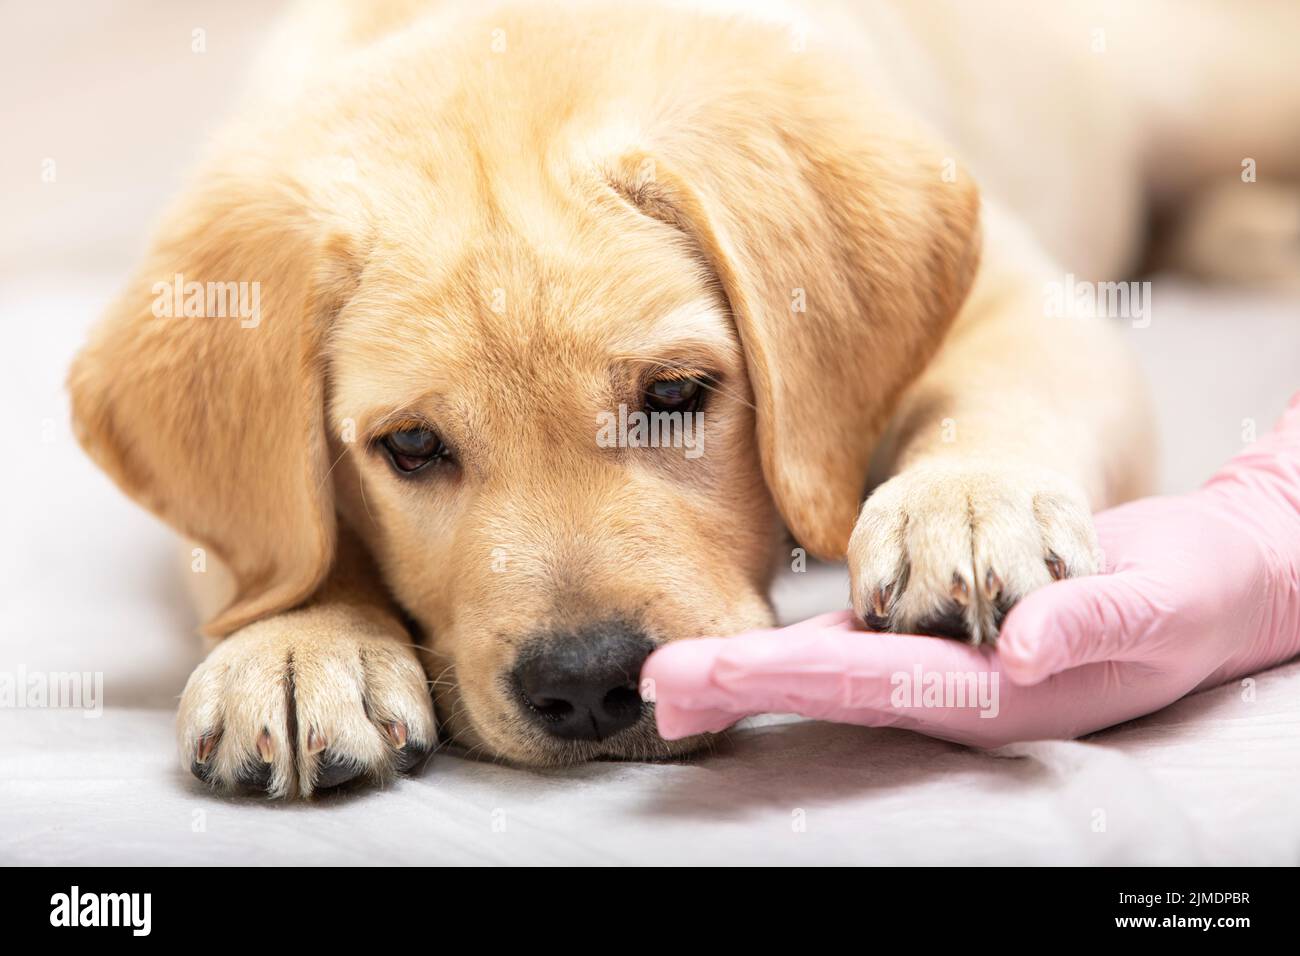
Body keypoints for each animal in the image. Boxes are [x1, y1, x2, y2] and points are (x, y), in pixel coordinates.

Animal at [71, 1, 1300, 790]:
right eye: (410, 446)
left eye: (674, 391)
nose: (586, 689)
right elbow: (262, 546)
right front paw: (296, 645)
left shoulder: (1026, 301)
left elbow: (998, 391)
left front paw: (961, 504)